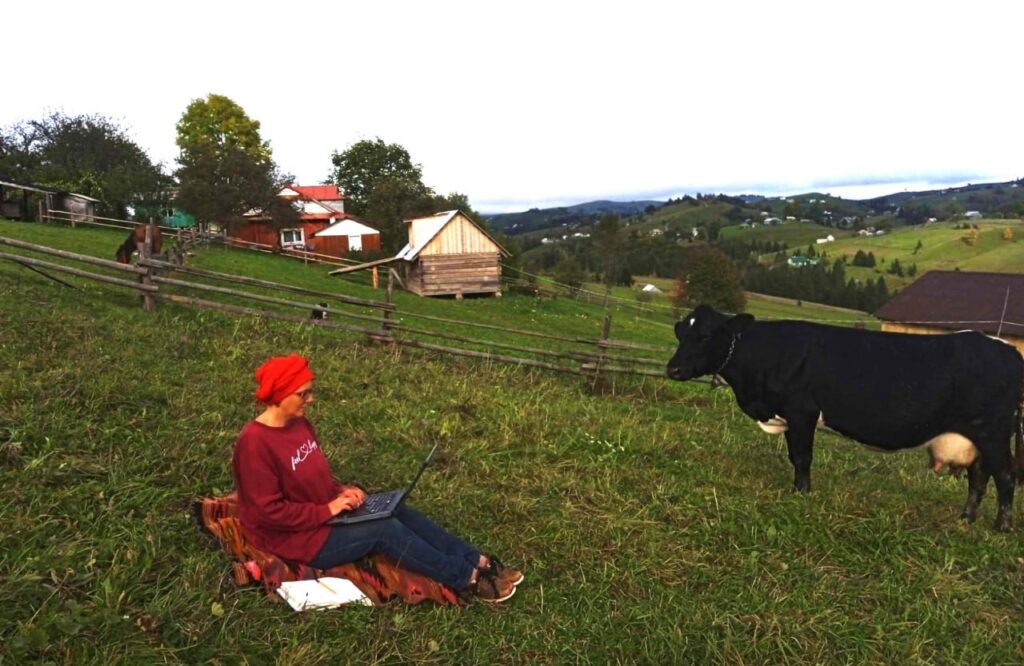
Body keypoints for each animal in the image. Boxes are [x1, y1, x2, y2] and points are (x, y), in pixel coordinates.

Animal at [667, 305, 1019, 528]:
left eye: (705, 336)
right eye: (680, 333)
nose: (673, 369)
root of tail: (1007, 349)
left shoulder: (802, 411)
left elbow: (801, 457)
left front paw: (801, 494)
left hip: (995, 433)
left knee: (1005, 476)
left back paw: (1001, 527)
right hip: (976, 436)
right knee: (978, 477)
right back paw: (965, 519)